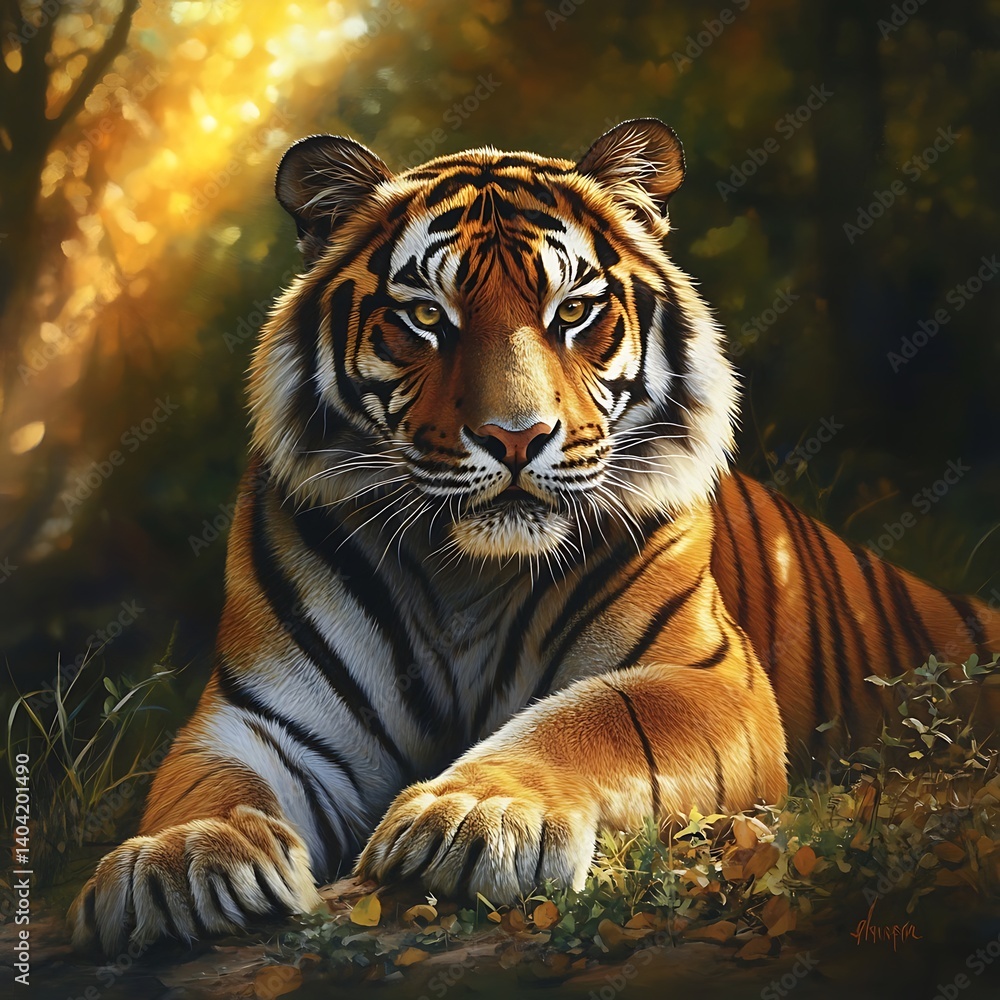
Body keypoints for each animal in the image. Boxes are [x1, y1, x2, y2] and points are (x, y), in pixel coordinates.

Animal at [69, 119, 1000, 955]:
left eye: (574, 312)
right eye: (425, 316)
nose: (516, 438)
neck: (466, 576)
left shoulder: (705, 676)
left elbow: (588, 718)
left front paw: (475, 816)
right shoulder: (262, 714)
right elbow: (205, 783)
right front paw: (179, 862)